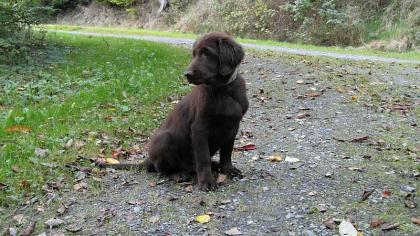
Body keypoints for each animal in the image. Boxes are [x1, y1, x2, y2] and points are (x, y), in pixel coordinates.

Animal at [99, 32, 248, 191]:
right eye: (194, 54)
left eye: (206, 53)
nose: (187, 74)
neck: (223, 89)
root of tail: (149, 159)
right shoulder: (199, 128)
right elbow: (203, 158)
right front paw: (207, 181)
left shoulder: (233, 126)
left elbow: (227, 152)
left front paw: (228, 170)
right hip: (165, 139)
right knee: (162, 170)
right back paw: (178, 174)